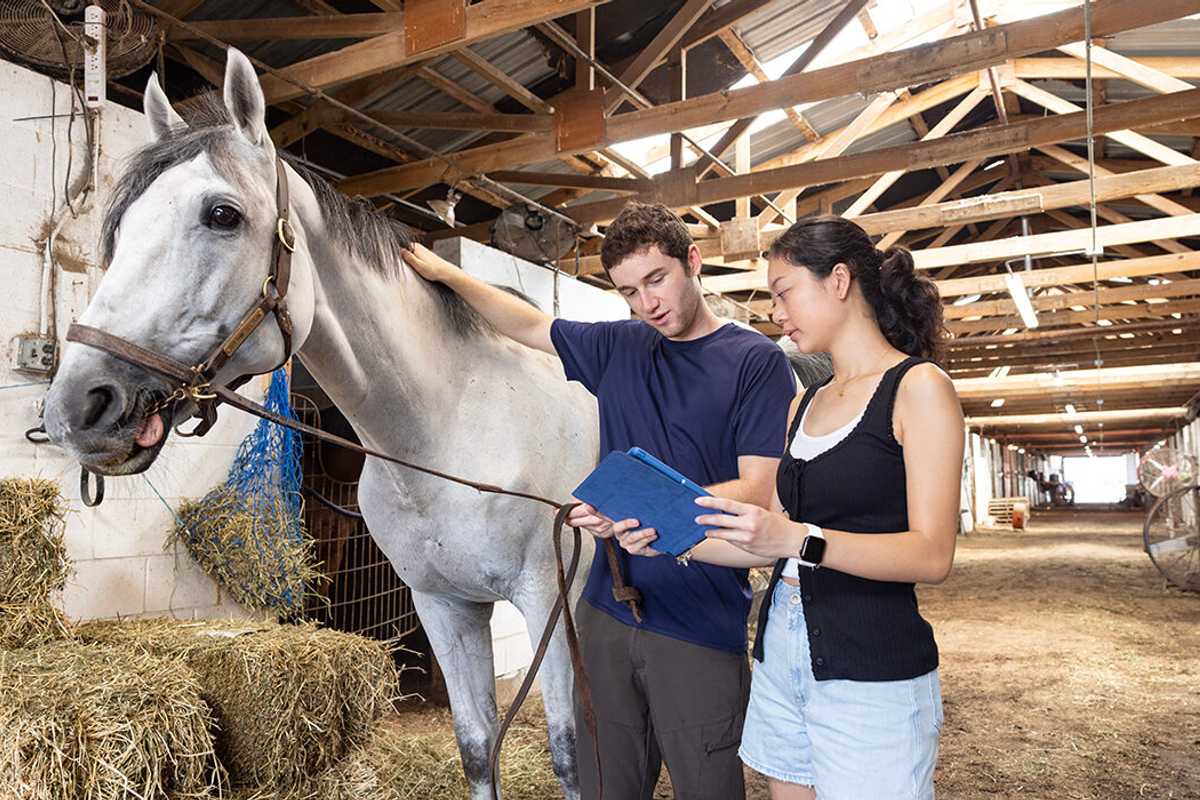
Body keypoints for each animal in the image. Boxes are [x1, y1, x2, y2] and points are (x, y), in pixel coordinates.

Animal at [42, 48, 597, 800]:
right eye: (121, 228)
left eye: (222, 214)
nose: (78, 407)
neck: (449, 429)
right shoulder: (445, 605)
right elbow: (478, 746)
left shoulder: (547, 603)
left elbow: (569, 753)